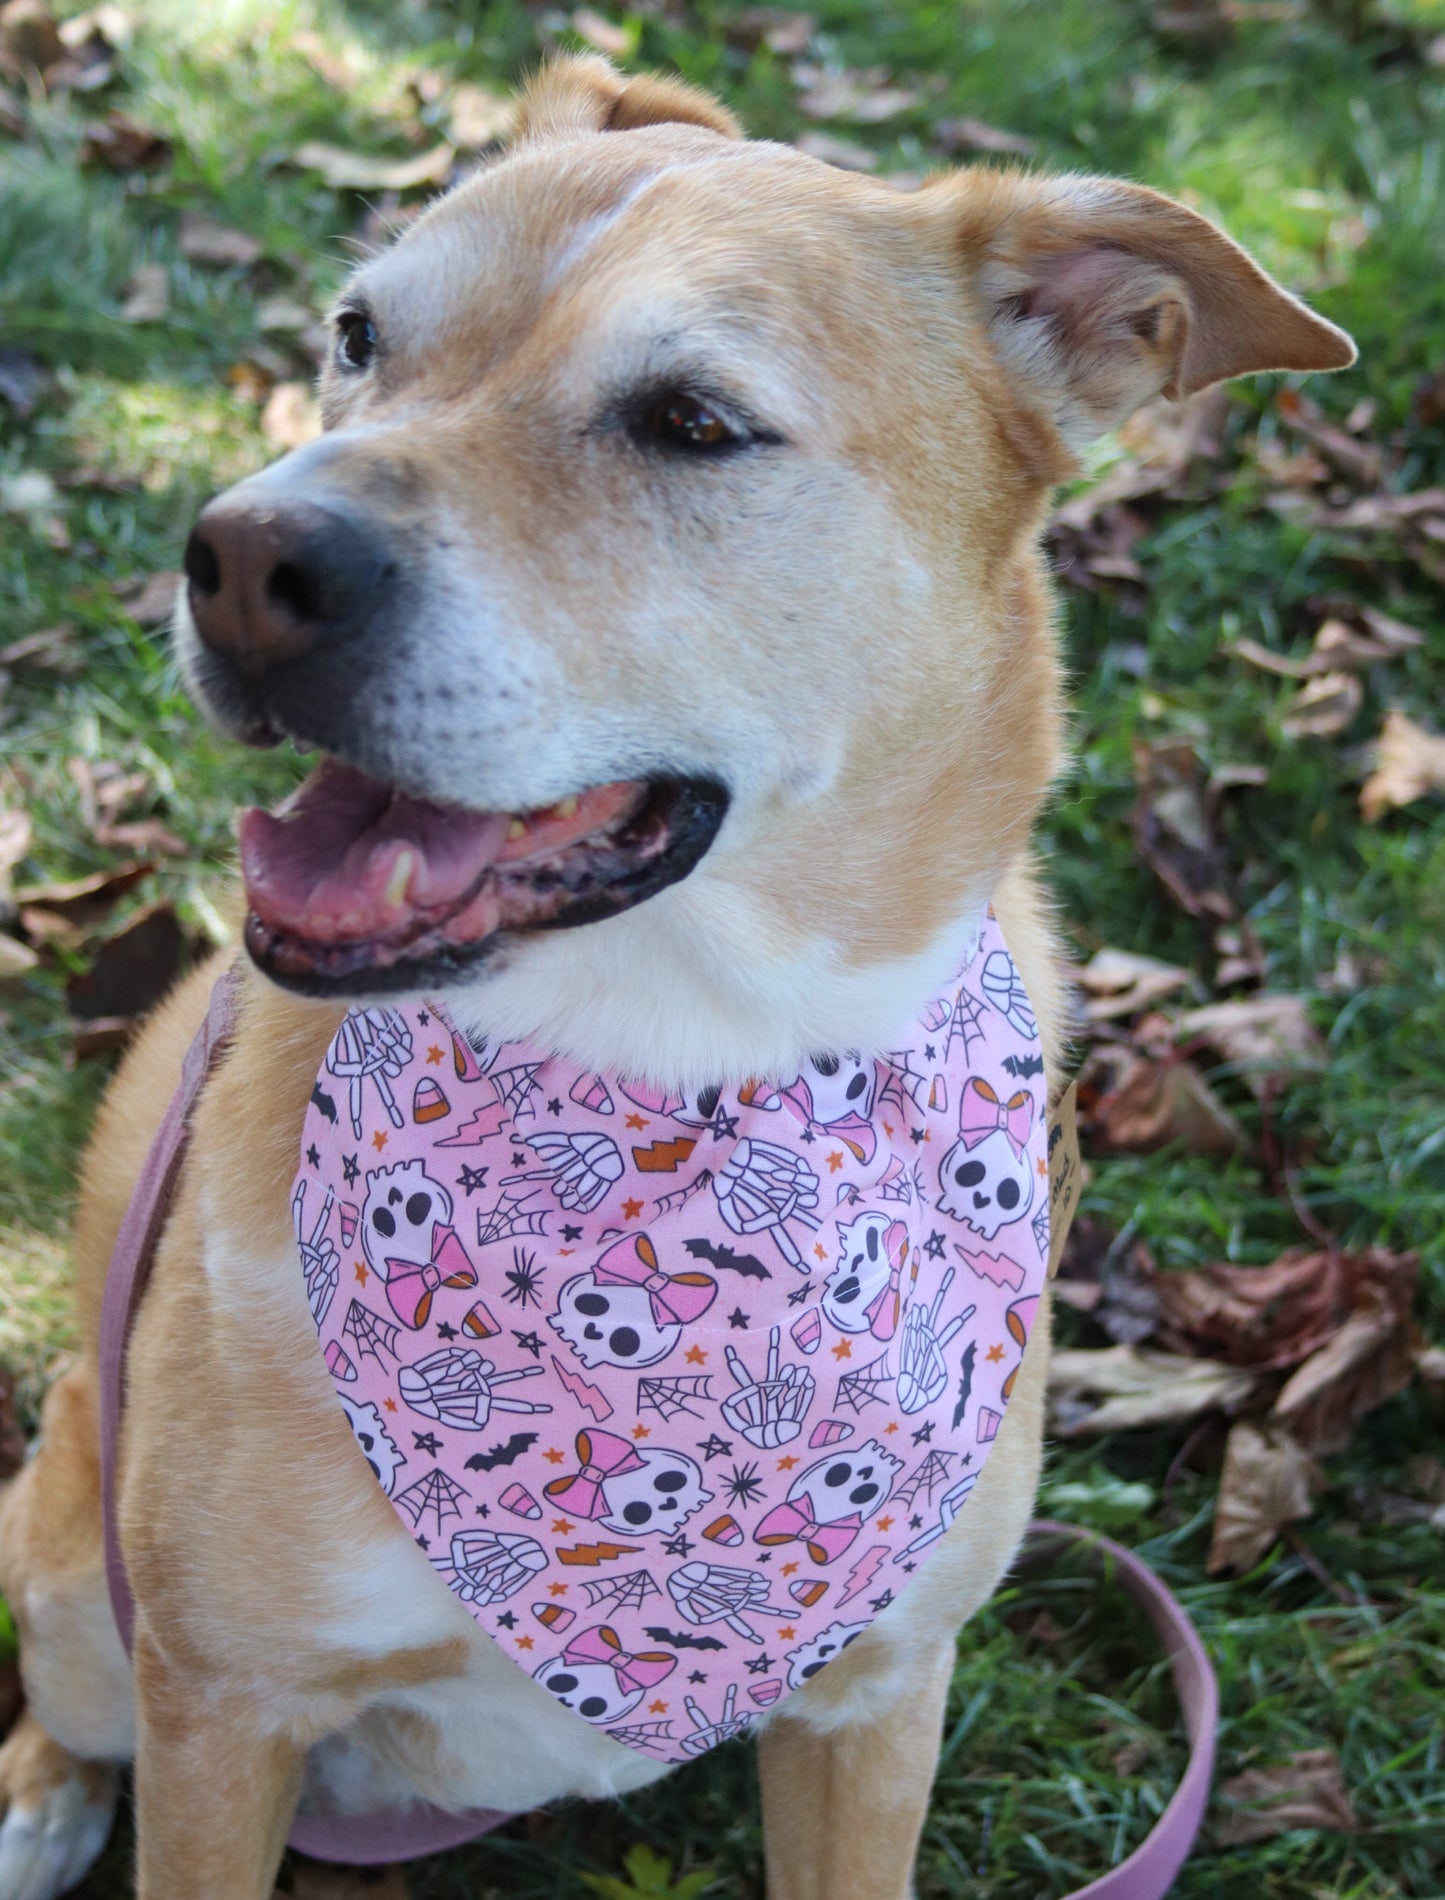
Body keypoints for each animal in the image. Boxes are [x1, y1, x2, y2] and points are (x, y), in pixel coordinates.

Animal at [0, 59, 1344, 1900]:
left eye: (693, 422)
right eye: (359, 333)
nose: (244, 563)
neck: (685, 1078)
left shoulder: (878, 1701)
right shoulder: (221, 1706)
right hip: (83, 1574)